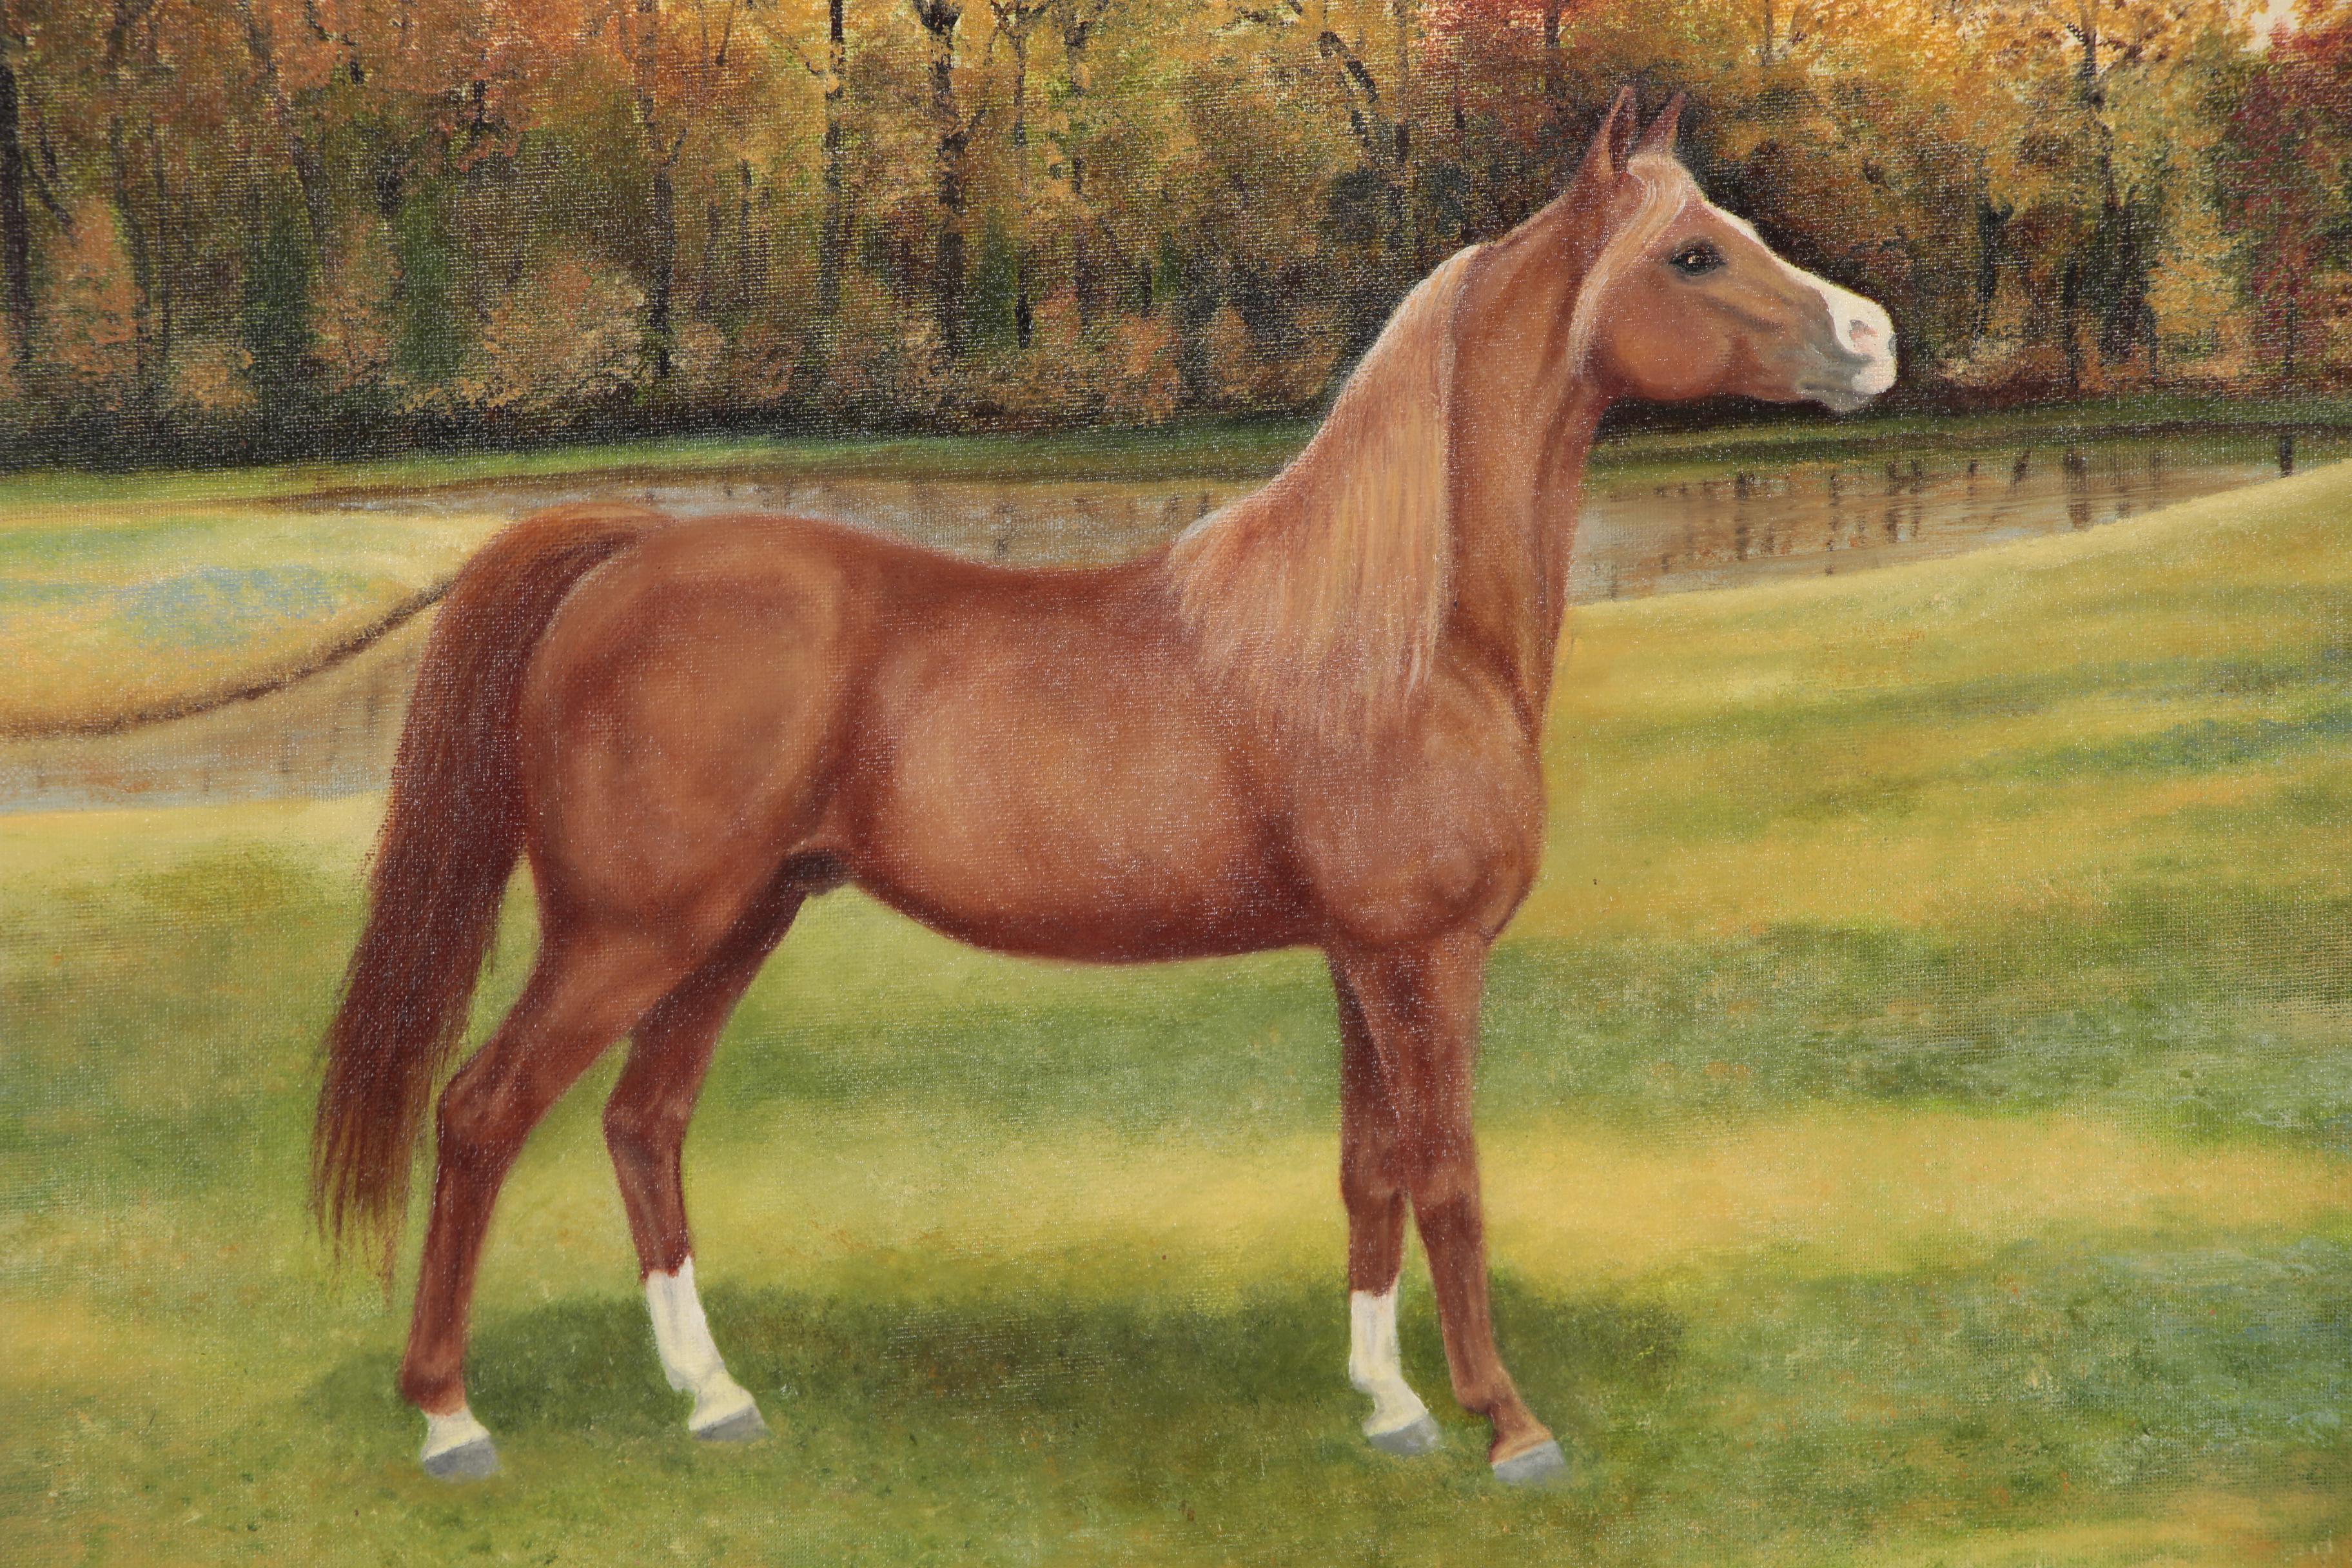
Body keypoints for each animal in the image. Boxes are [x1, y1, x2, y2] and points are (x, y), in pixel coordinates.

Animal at [312, 89, 1895, 1486]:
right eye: (1692, 256)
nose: (1873, 340)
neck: (1400, 639)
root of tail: (631, 545)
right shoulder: (1423, 958)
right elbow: (1449, 1178)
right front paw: (1507, 1428)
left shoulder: (1359, 961)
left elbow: (1367, 1168)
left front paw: (1386, 1407)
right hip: (626, 934)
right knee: (482, 1113)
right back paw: (451, 1421)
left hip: (732, 925)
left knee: (644, 1124)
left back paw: (716, 1401)